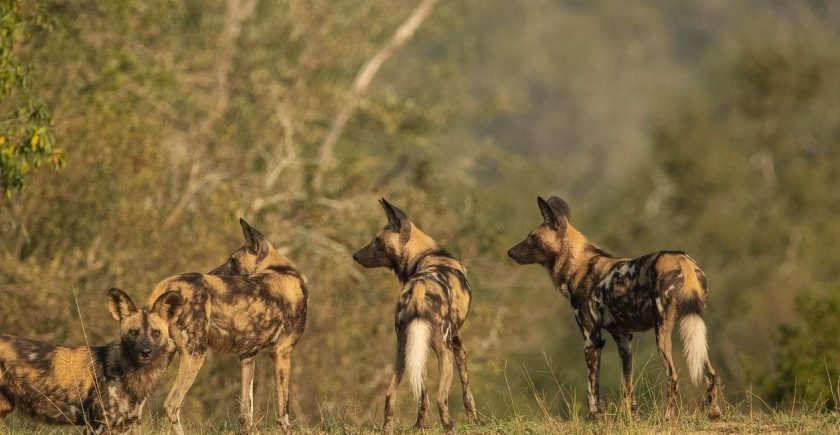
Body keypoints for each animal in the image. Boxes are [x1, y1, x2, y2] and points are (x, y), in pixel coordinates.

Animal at [148, 221, 308, 435]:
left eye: (233, 261)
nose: (211, 273)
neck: (278, 268)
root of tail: (165, 285)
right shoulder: (281, 352)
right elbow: (284, 410)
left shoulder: (248, 355)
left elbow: (246, 412)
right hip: (195, 354)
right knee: (172, 404)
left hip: (160, 358)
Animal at [350, 200, 480, 435]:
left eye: (378, 240)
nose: (355, 255)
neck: (427, 255)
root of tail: (419, 288)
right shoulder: (458, 344)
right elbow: (467, 392)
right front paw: (474, 422)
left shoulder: (419, 347)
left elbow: (422, 395)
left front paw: (421, 425)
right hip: (445, 352)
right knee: (441, 399)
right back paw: (449, 427)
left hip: (402, 351)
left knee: (391, 395)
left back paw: (391, 428)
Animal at [506, 198, 720, 422]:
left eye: (533, 237)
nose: (510, 252)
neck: (576, 265)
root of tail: (681, 259)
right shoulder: (623, 338)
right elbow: (627, 385)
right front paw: (631, 417)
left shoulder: (592, 339)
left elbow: (592, 388)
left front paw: (592, 417)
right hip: (694, 328)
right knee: (711, 373)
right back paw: (714, 413)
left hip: (661, 334)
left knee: (673, 377)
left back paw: (667, 417)